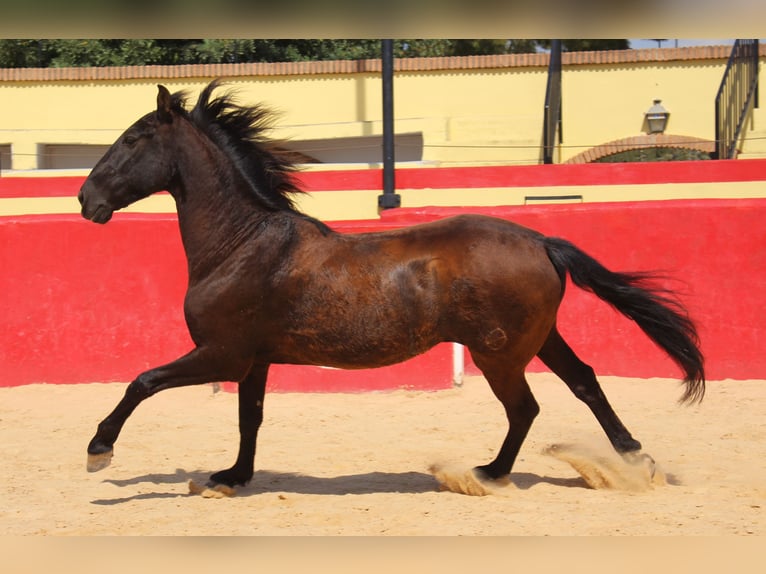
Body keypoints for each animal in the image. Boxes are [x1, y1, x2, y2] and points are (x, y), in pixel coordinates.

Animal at [79, 83, 708, 492]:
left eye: (133, 138)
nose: (87, 200)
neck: (240, 244)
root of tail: (540, 240)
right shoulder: (252, 360)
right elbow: (248, 418)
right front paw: (231, 477)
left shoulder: (221, 353)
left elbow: (142, 381)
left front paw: (99, 452)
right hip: (536, 340)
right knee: (584, 382)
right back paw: (633, 461)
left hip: (500, 353)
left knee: (526, 407)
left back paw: (488, 474)